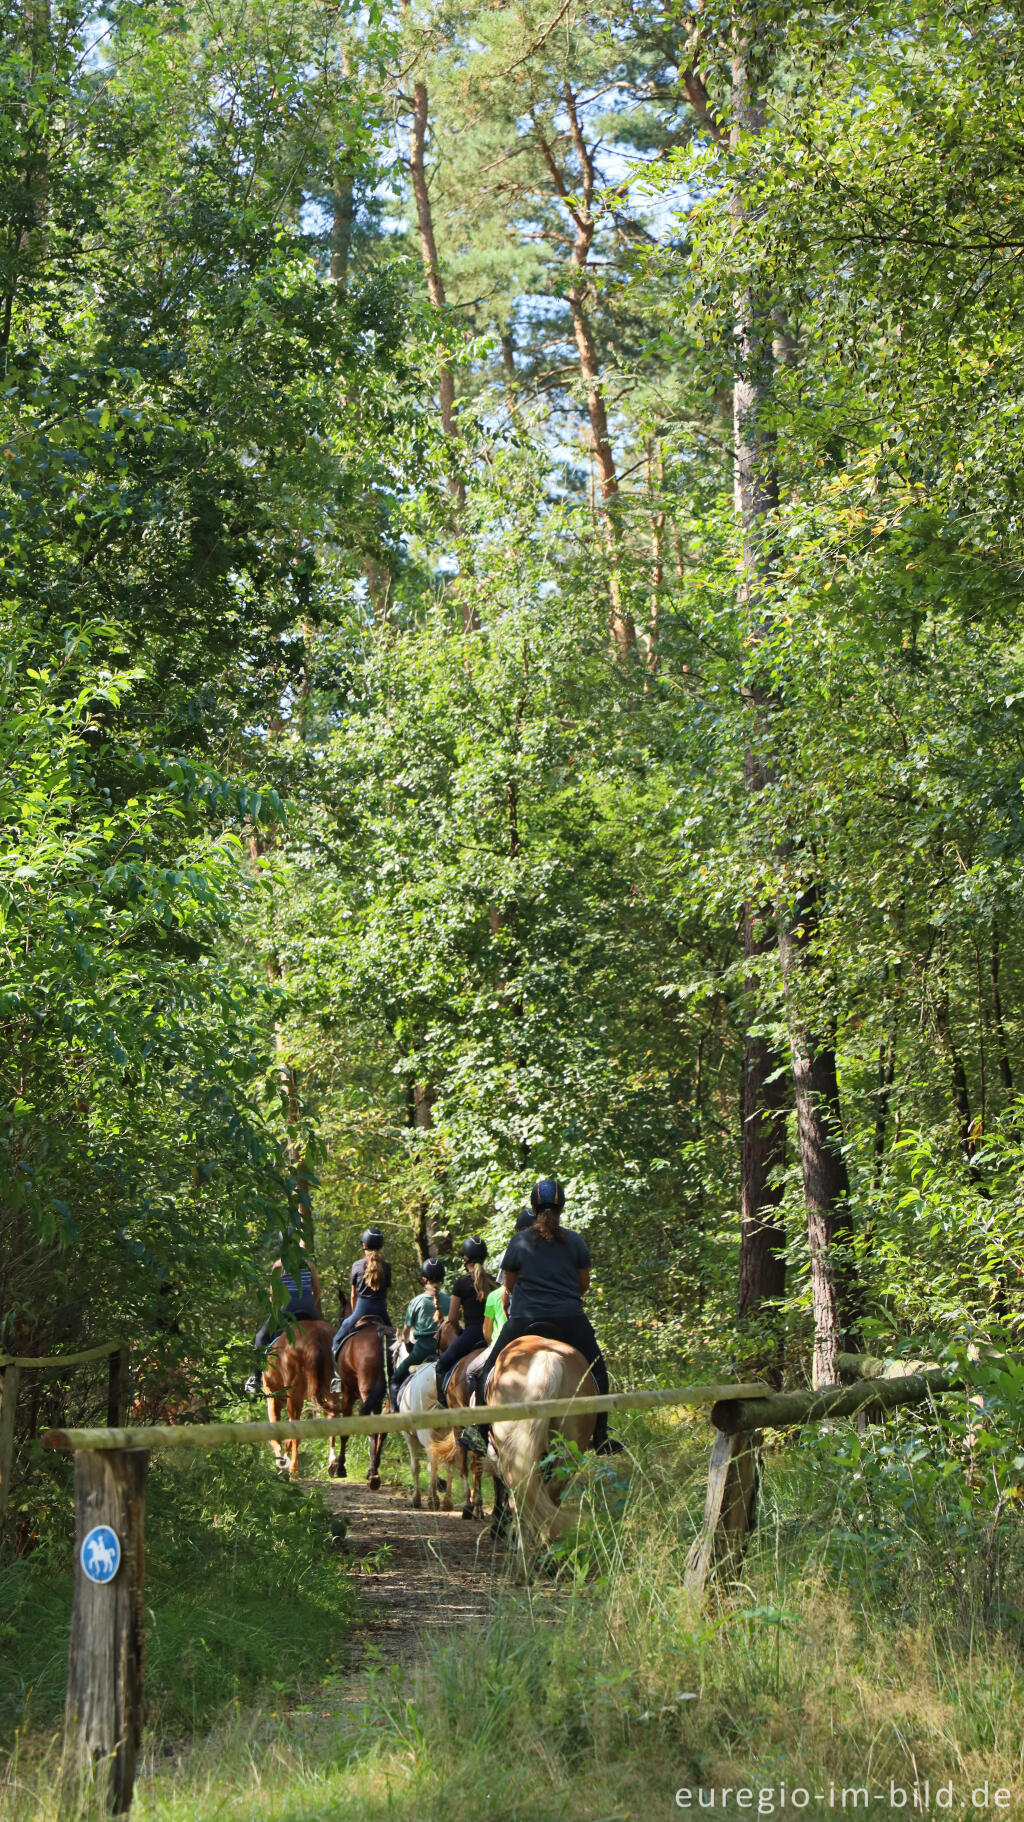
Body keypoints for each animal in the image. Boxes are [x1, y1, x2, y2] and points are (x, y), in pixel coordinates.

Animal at [258, 1319, 338, 1486]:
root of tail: (315, 1337)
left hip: (293, 1394)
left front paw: (281, 1462)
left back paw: (293, 1471)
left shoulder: (273, 1397)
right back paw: (333, 1464)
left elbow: (276, 1432)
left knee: (296, 1429)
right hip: (332, 1389)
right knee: (333, 1417)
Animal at [333, 1319, 388, 1486]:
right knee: (383, 1431)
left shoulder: (348, 1394)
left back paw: (373, 1476)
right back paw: (373, 1471)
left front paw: (340, 1468)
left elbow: (345, 1432)